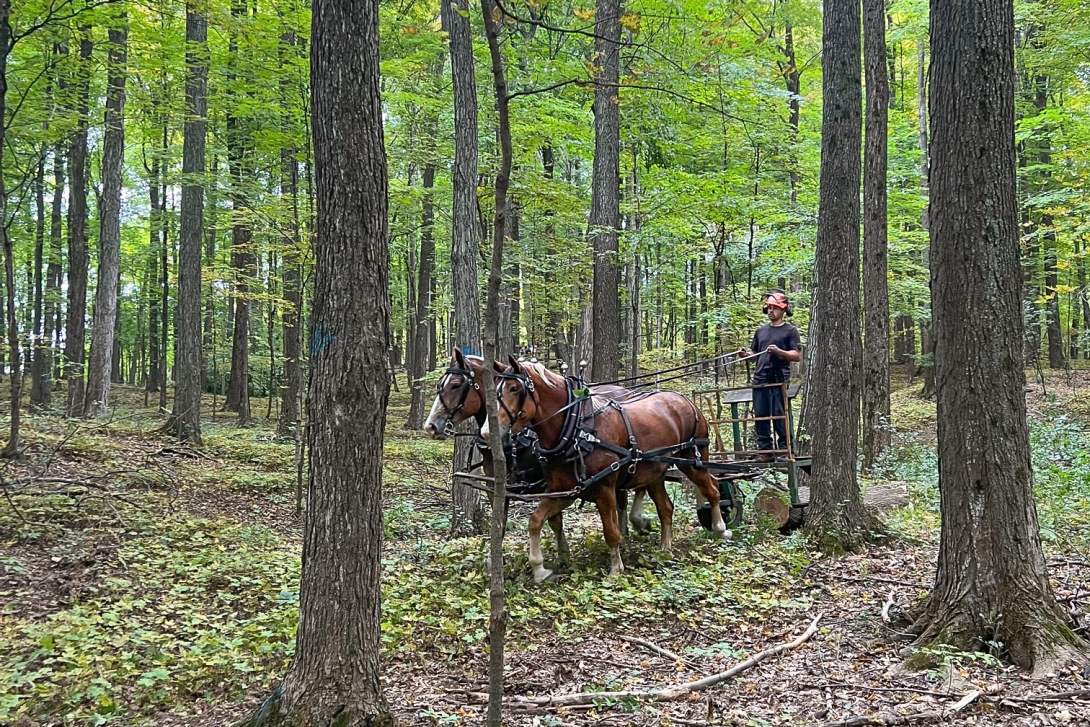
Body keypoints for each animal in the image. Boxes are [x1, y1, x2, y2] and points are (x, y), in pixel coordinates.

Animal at [481, 355, 728, 584]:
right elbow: (535, 520)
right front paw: (539, 569)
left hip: (692, 460)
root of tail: (685, 399)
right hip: (654, 473)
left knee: (713, 489)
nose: (485, 432)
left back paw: (720, 529)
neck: (577, 428)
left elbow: (611, 531)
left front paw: (616, 569)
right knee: (666, 508)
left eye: (514, 388)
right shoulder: (564, 492)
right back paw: (665, 548)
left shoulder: (605, 490)